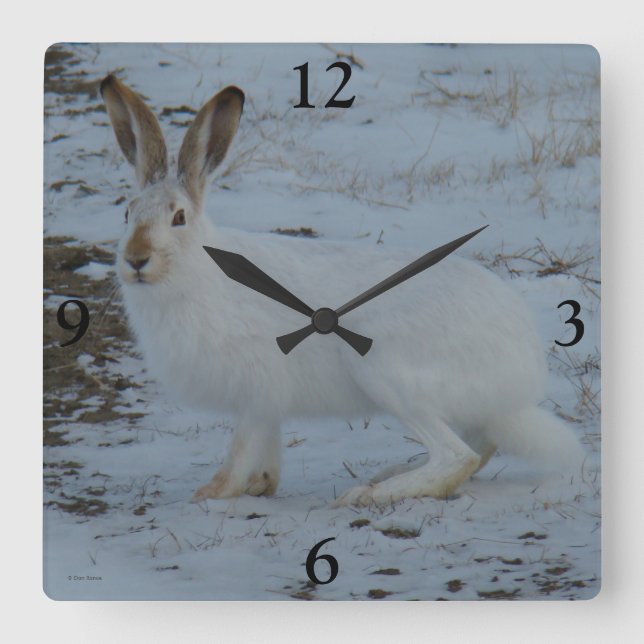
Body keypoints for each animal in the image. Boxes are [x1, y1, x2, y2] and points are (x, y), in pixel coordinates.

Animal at [100, 74, 583, 507]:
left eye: (179, 217)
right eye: (126, 213)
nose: (136, 259)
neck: (197, 272)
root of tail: (523, 368)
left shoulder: (259, 386)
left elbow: (242, 444)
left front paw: (216, 492)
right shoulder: (266, 401)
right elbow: (264, 444)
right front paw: (262, 483)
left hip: (386, 371)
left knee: (457, 457)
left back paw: (370, 494)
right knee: (479, 449)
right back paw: (391, 474)